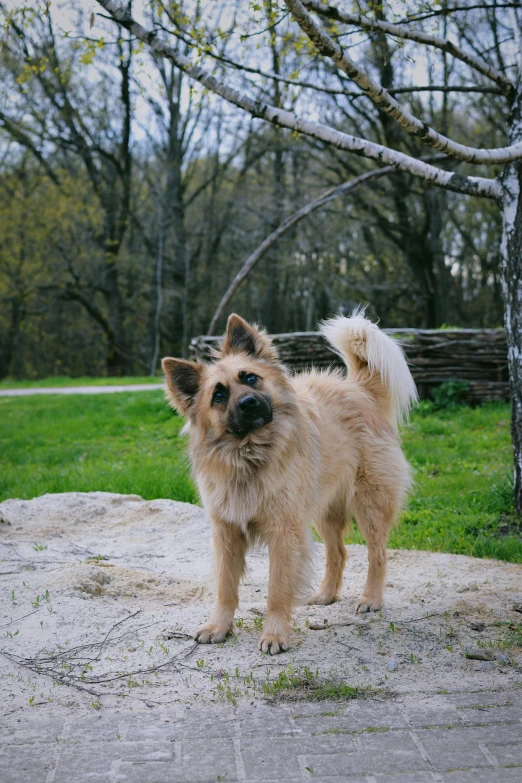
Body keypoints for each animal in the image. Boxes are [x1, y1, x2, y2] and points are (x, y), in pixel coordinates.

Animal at [161, 312, 414, 656]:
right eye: (218, 395)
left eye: (250, 378)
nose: (249, 403)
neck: (250, 455)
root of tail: (359, 389)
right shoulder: (226, 531)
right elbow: (226, 586)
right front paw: (219, 626)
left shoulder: (283, 531)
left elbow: (278, 589)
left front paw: (275, 634)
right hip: (322, 511)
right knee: (338, 553)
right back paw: (326, 594)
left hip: (369, 505)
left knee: (378, 554)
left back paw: (371, 599)